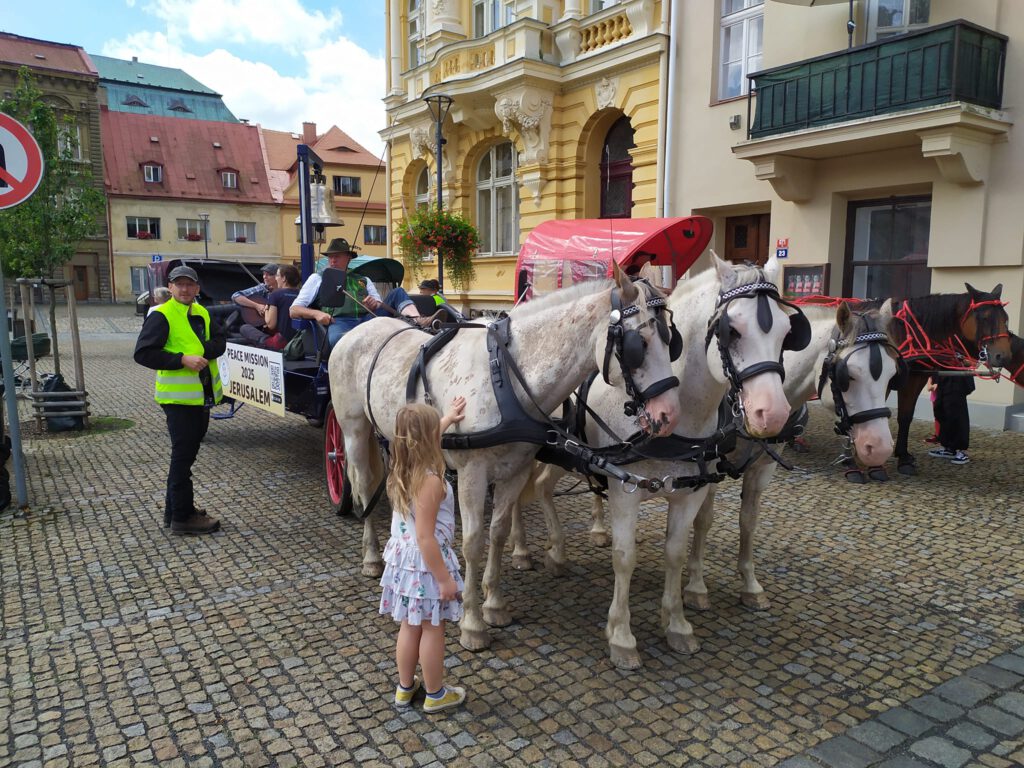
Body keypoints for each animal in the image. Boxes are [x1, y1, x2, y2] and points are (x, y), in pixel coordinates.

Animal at [327, 268, 679, 651]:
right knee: (363, 485)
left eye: (672, 343)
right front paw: (471, 622)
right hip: (354, 430)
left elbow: (497, 532)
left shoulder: (516, 470)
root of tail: (358, 330)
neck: (505, 378)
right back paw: (372, 557)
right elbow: (472, 543)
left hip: (395, 437)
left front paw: (494, 605)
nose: (668, 415)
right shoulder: (472, 473)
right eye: (638, 344)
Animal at [684, 301, 901, 614]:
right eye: (848, 375)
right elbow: (703, 520)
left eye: (892, 376)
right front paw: (696, 586)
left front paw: (750, 586)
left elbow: (748, 521)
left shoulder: (763, 469)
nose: (880, 447)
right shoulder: (709, 468)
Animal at [860, 282, 1011, 475]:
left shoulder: (913, 380)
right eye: (985, 318)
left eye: (1005, 318)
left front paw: (903, 457)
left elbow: (905, 416)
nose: (1003, 356)